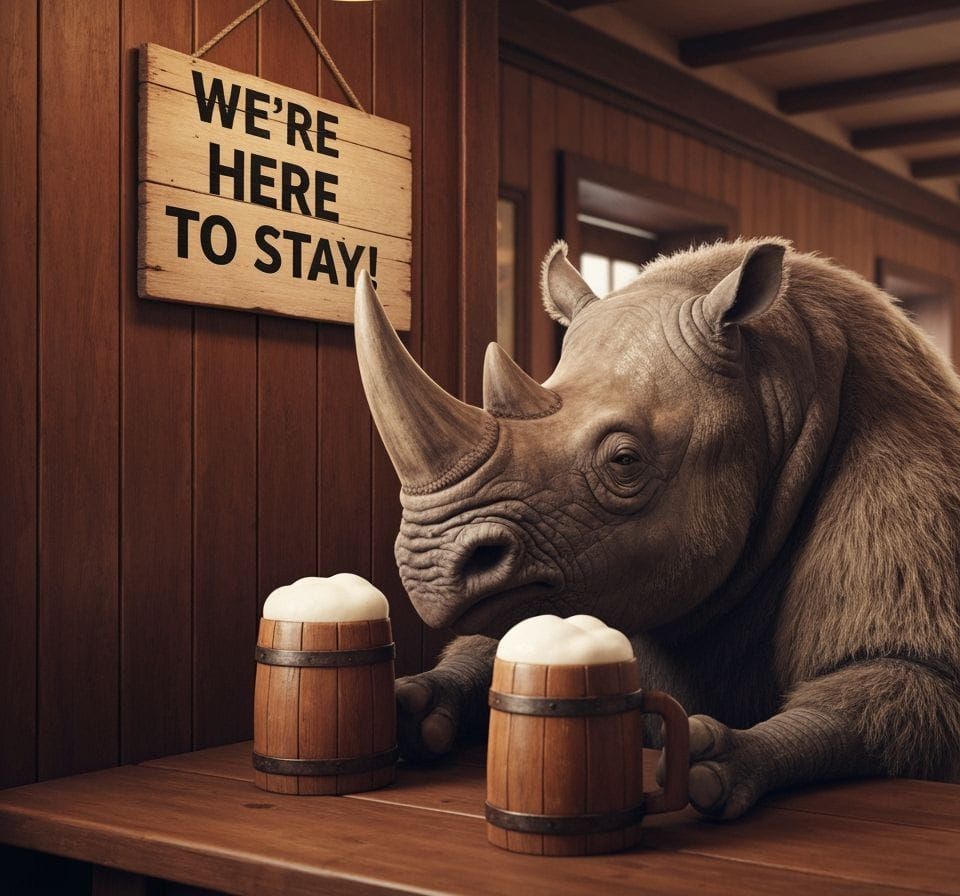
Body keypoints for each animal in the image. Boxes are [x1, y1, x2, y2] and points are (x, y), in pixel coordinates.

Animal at [353, 238, 960, 818]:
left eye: (625, 461)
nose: (428, 566)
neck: (779, 374)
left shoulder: (908, 486)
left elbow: (907, 677)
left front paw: (714, 764)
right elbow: (504, 639)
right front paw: (411, 707)